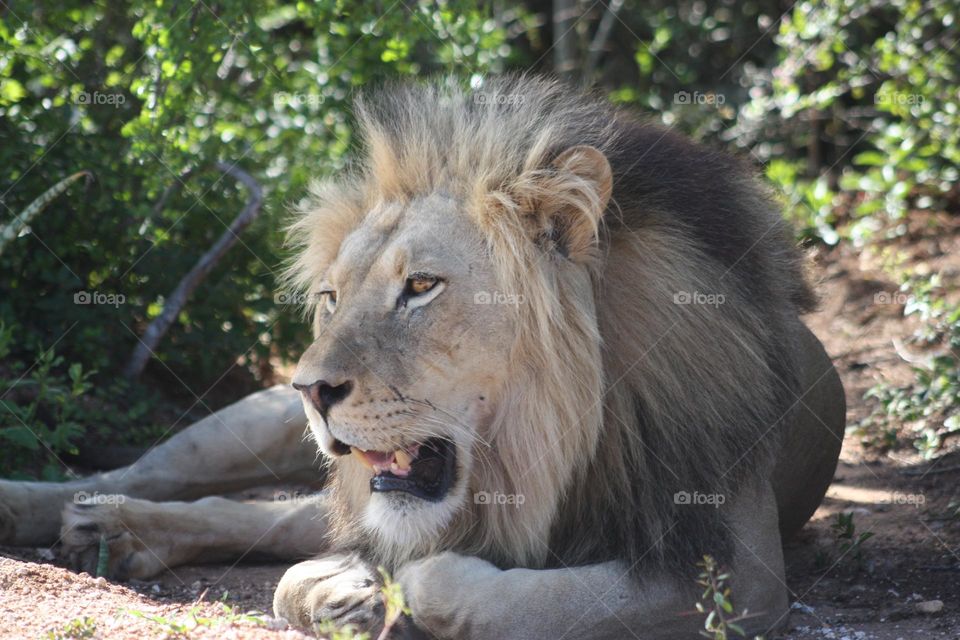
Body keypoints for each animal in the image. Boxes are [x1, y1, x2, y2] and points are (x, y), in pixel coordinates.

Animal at [0, 76, 840, 640]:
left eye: (421, 286)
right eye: (332, 297)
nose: (311, 388)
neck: (537, 457)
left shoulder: (737, 570)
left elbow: (490, 590)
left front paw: (370, 593)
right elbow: (306, 576)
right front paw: (352, 592)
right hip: (252, 421)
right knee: (157, 473)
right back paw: (73, 511)